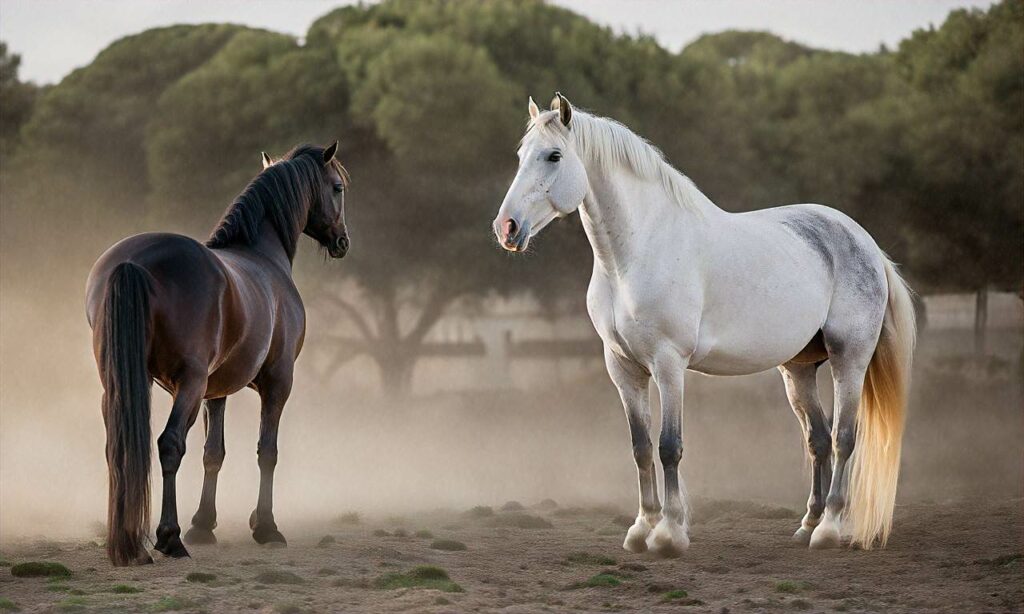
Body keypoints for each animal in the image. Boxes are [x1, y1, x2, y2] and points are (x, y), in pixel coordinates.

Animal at [84, 144, 348, 564]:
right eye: (337, 187)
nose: (342, 242)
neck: (261, 255)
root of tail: (133, 262)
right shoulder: (278, 382)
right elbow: (267, 451)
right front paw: (266, 527)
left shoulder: (216, 390)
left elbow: (214, 453)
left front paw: (204, 525)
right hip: (188, 386)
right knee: (170, 445)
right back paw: (168, 537)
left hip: (121, 386)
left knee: (120, 449)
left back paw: (129, 542)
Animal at [491, 94, 917, 556]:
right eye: (520, 155)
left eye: (554, 155)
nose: (507, 228)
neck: (636, 253)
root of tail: (865, 242)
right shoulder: (623, 368)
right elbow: (640, 448)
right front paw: (641, 528)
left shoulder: (668, 364)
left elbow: (668, 447)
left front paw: (669, 533)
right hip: (799, 369)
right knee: (818, 439)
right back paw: (809, 524)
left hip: (849, 360)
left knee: (843, 437)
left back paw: (830, 529)